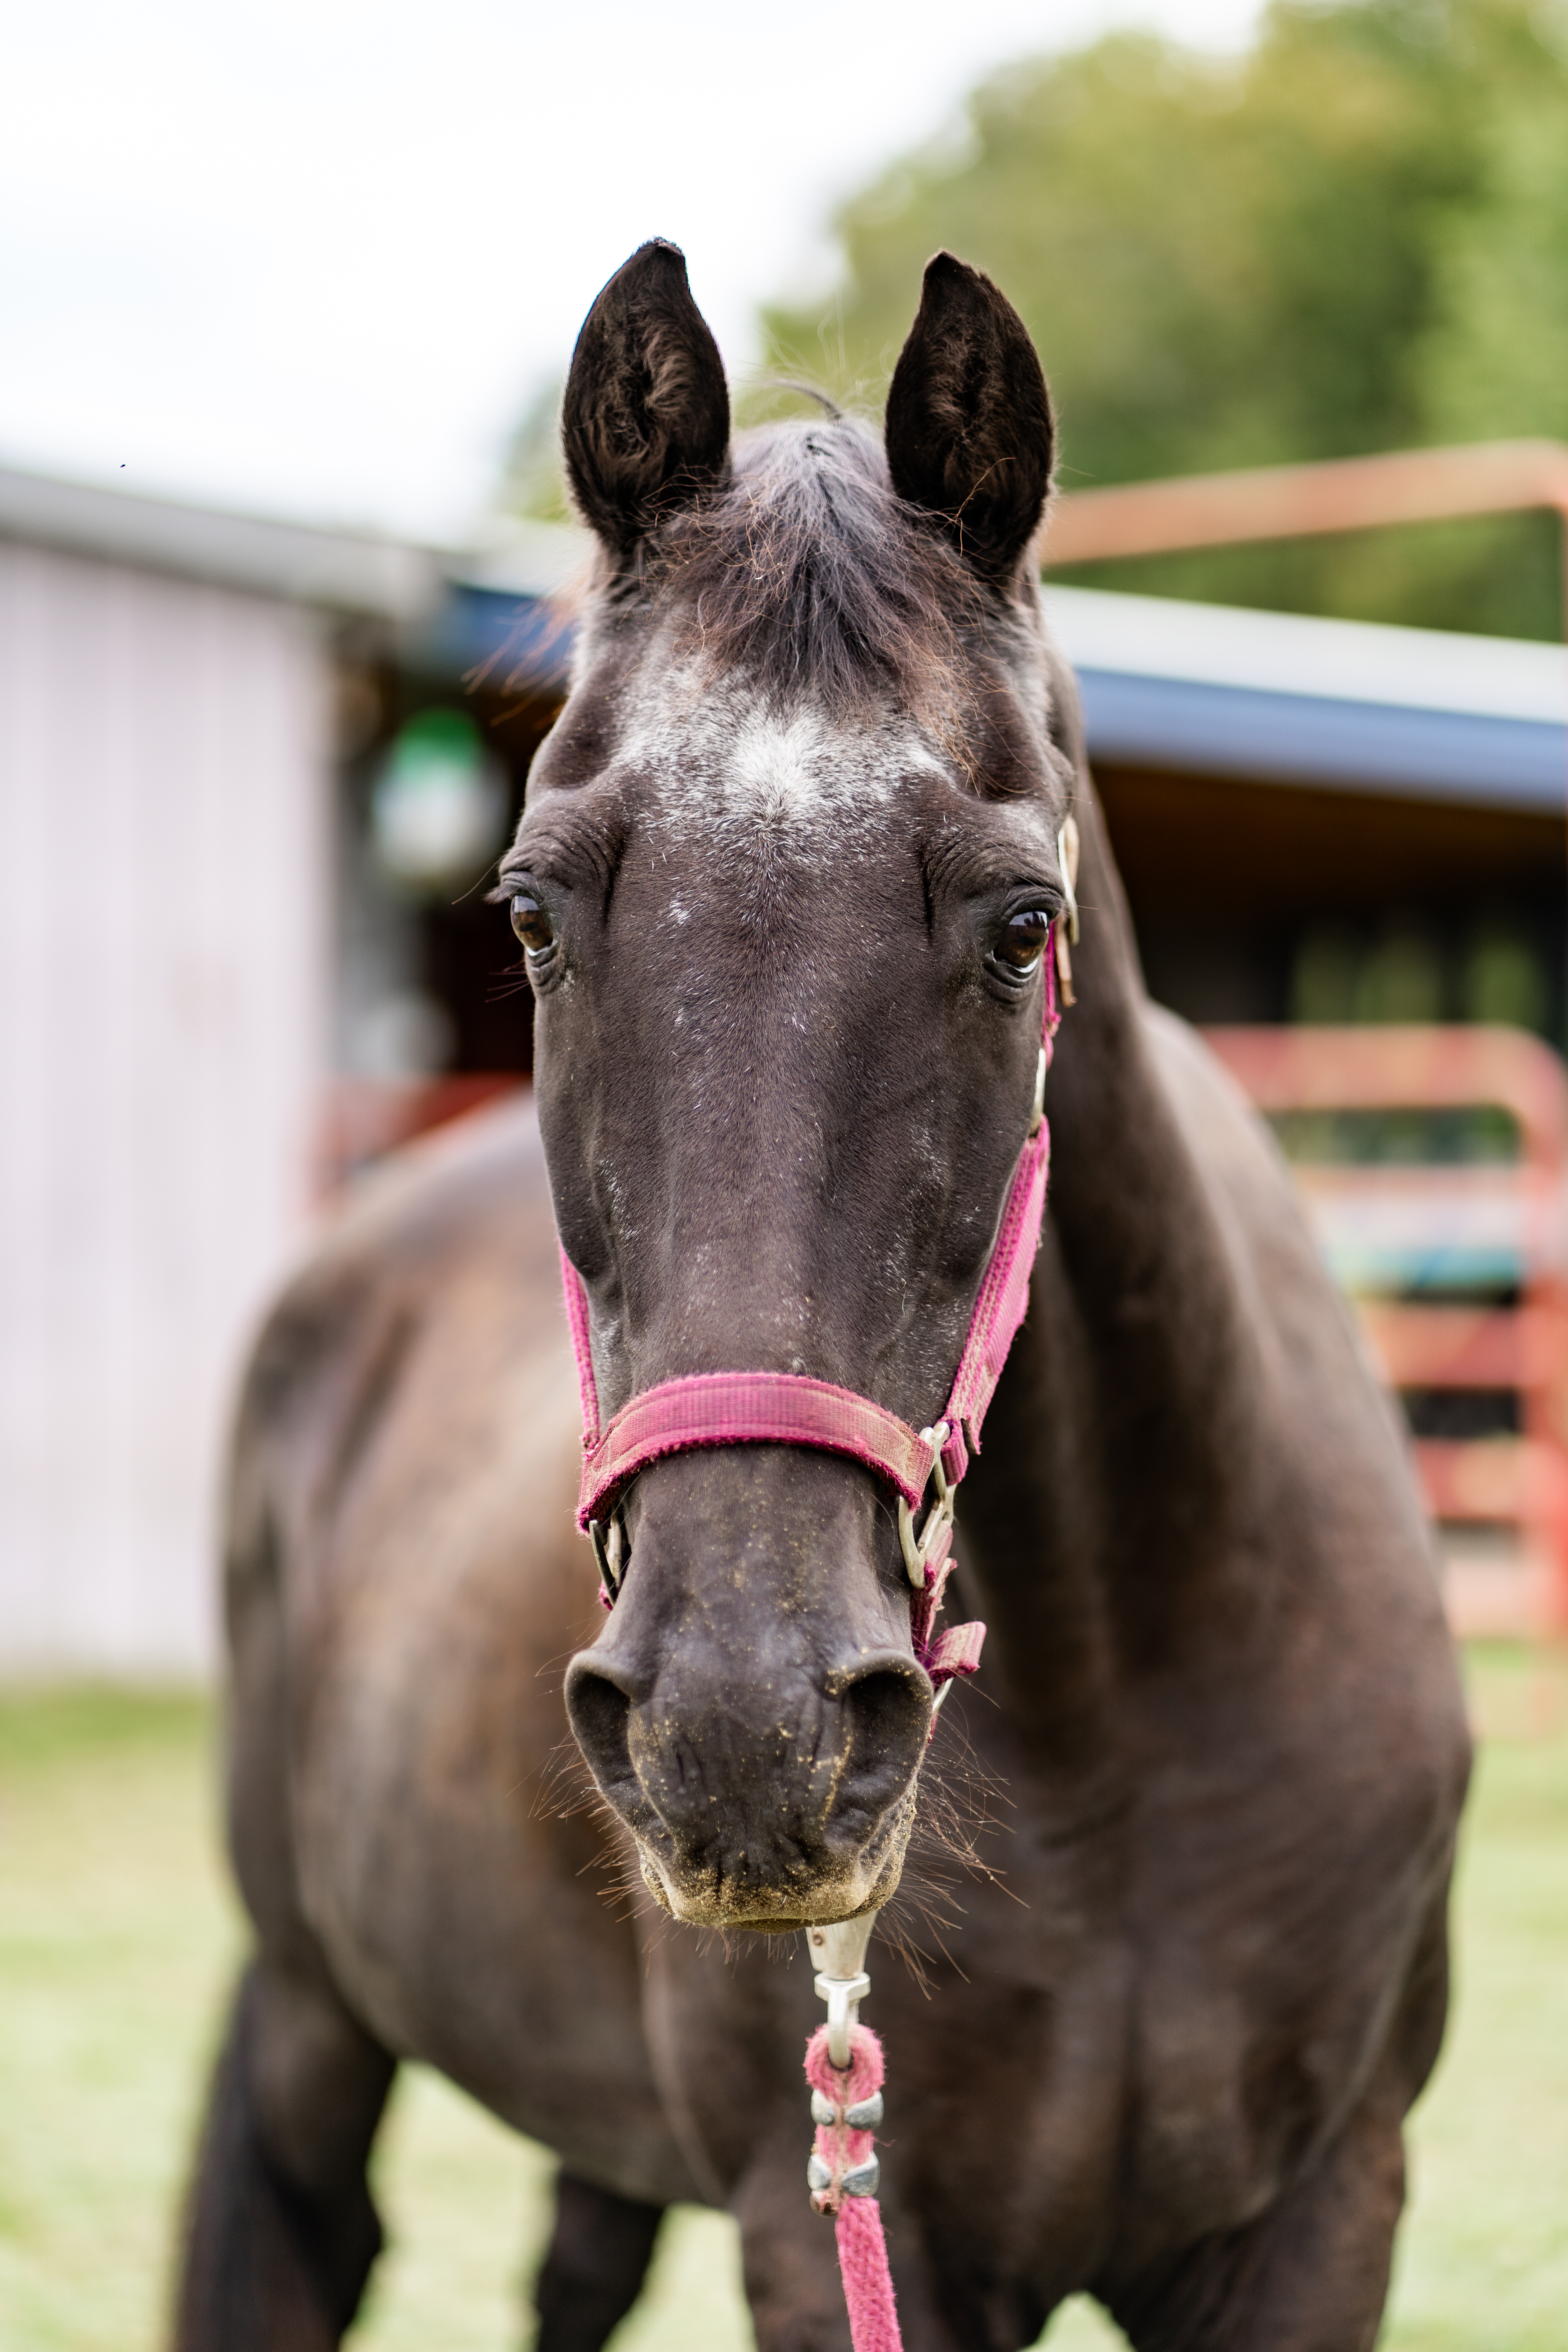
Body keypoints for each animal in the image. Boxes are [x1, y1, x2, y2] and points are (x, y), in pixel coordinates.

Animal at [172, 242, 1470, 2352]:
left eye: (1021, 923)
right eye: (531, 909)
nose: (741, 1727)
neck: (1126, 1708)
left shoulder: (1315, 2220)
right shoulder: (842, 2237)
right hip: (310, 2014)